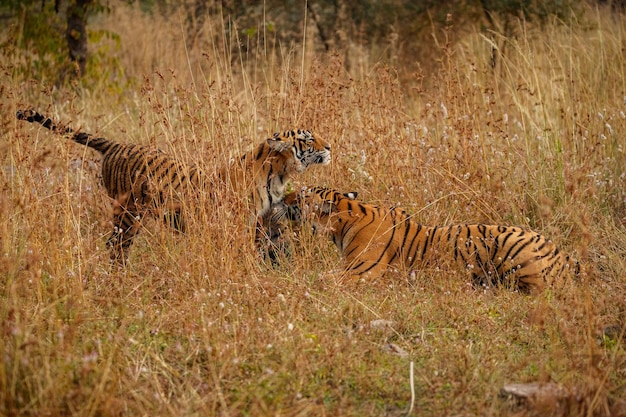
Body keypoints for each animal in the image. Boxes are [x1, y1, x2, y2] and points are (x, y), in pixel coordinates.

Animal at [15, 109, 332, 262]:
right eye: (308, 139)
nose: (329, 146)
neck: (279, 174)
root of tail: (116, 144)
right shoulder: (238, 224)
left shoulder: (265, 222)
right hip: (128, 215)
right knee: (116, 246)